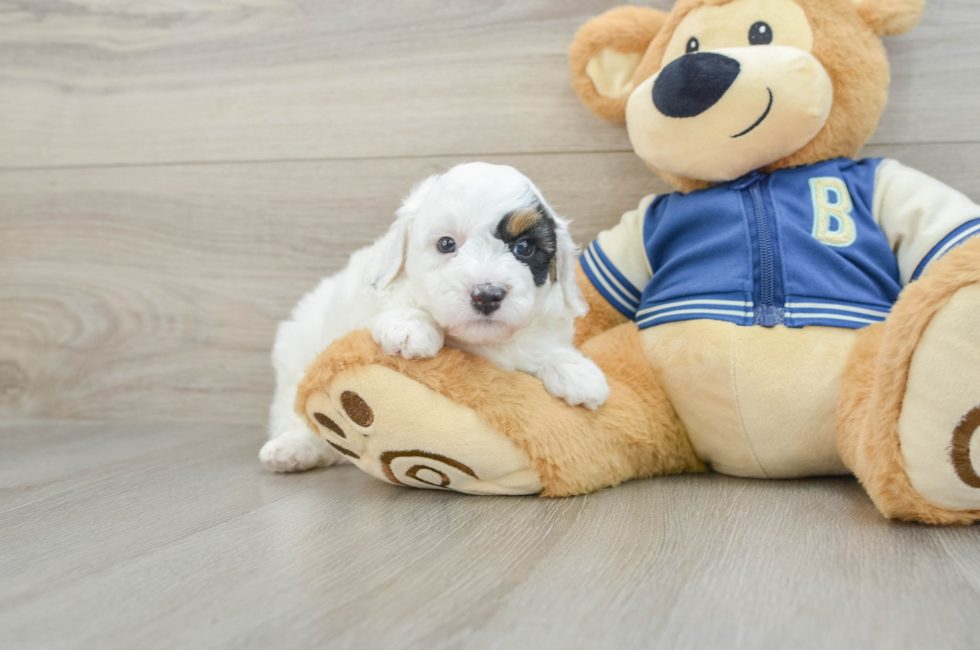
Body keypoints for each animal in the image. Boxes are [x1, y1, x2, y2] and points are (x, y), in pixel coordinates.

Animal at [260, 162, 612, 470]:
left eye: (524, 247)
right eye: (446, 244)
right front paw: (411, 327)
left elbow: (543, 348)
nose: (487, 294)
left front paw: (575, 371)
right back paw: (292, 449)